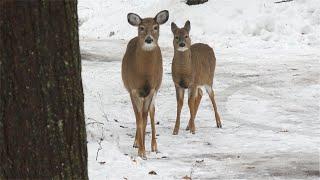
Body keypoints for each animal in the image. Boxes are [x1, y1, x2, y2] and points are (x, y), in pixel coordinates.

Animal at [121, 10, 169, 158]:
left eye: (155, 27)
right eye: (141, 27)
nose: (148, 39)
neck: (144, 74)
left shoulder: (151, 89)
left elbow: (145, 116)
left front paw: (143, 150)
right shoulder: (133, 89)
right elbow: (139, 119)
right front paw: (141, 150)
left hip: (156, 89)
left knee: (151, 113)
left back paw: (154, 146)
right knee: (140, 116)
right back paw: (137, 142)